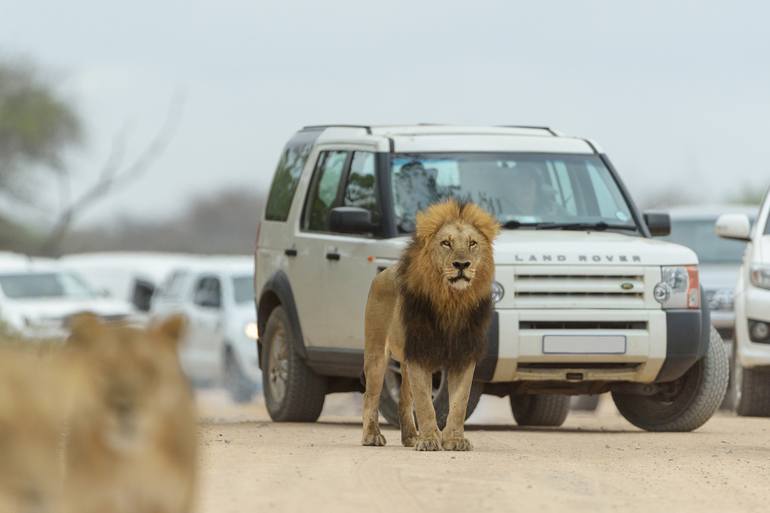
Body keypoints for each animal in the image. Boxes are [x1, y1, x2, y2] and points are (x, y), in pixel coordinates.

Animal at [360, 198, 498, 450]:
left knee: (404, 400)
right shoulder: (420, 354)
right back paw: (372, 436)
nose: (462, 264)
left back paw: (410, 437)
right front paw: (430, 440)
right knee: (370, 395)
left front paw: (454, 439)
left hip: (405, 360)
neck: (452, 301)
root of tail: (383, 272)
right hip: (376, 354)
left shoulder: (464, 355)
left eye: (472, 243)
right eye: (446, 243)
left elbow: (459, 403)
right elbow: (425, 403)